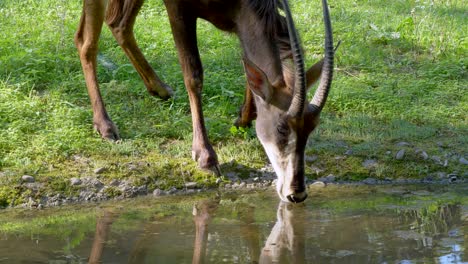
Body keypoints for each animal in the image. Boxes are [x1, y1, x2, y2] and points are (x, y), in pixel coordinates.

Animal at [75, 0, 334, 204]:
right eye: (281, 128)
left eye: (311, 128)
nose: (296, 193)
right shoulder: (178, 9)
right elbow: (193, 75)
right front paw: (206, 156)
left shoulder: (239, 20)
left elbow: (248, 69)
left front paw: (243, 118)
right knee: (86, 40)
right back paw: (105, 125)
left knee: (118, 23)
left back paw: (160, 88)